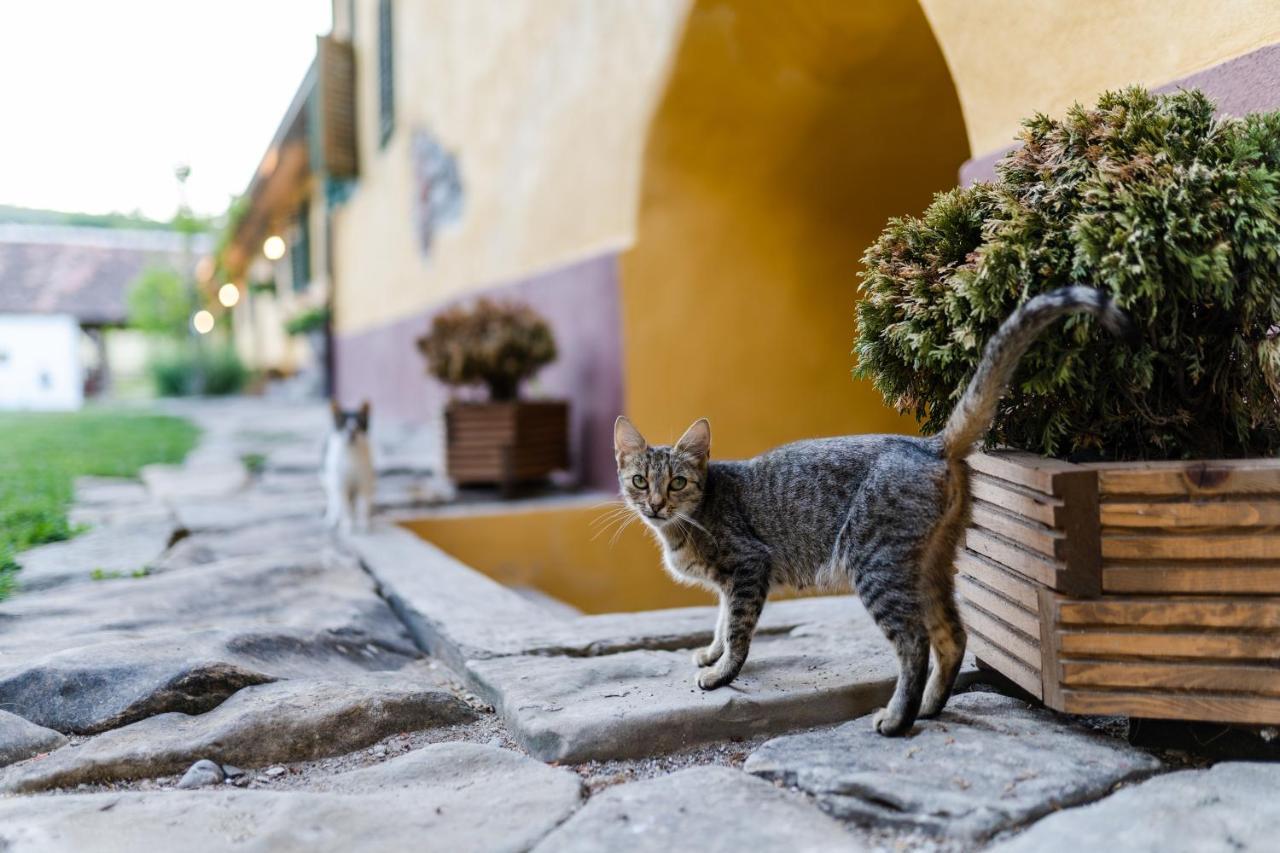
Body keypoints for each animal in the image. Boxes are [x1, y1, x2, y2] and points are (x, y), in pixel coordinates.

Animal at [325, 399, 373, 532]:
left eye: (359, 424)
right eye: (343, 424)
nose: (351, 432)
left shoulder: (364, 482)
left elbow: (362, 506)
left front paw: (363, 524)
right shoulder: (341, 484)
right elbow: (345, 508)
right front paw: (347, 526)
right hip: (330, 481)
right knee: (333, 502)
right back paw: (333, 518)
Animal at [616, 285, 1131, 732]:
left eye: (678, 482)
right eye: (640, 481)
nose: (656, 504)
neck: (688, 521)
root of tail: (930, 443)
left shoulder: (748, 565)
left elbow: (737, 629)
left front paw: (721, 673)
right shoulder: (731, 581)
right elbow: (722, 622)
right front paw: (710, 653)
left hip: (875, 563)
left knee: (915, 642)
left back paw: (898, 719)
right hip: (928, 566)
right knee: (952, 636)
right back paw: (929, 707)